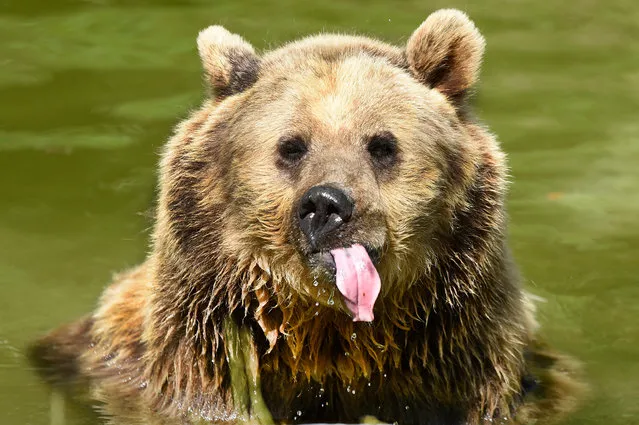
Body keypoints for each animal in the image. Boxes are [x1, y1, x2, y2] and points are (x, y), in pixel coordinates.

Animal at [30, 7, 584, 424]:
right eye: (291, 146)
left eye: (382, 145)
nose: (326, 204)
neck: (326, 337)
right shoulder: (194, 365)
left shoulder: (463, 361)